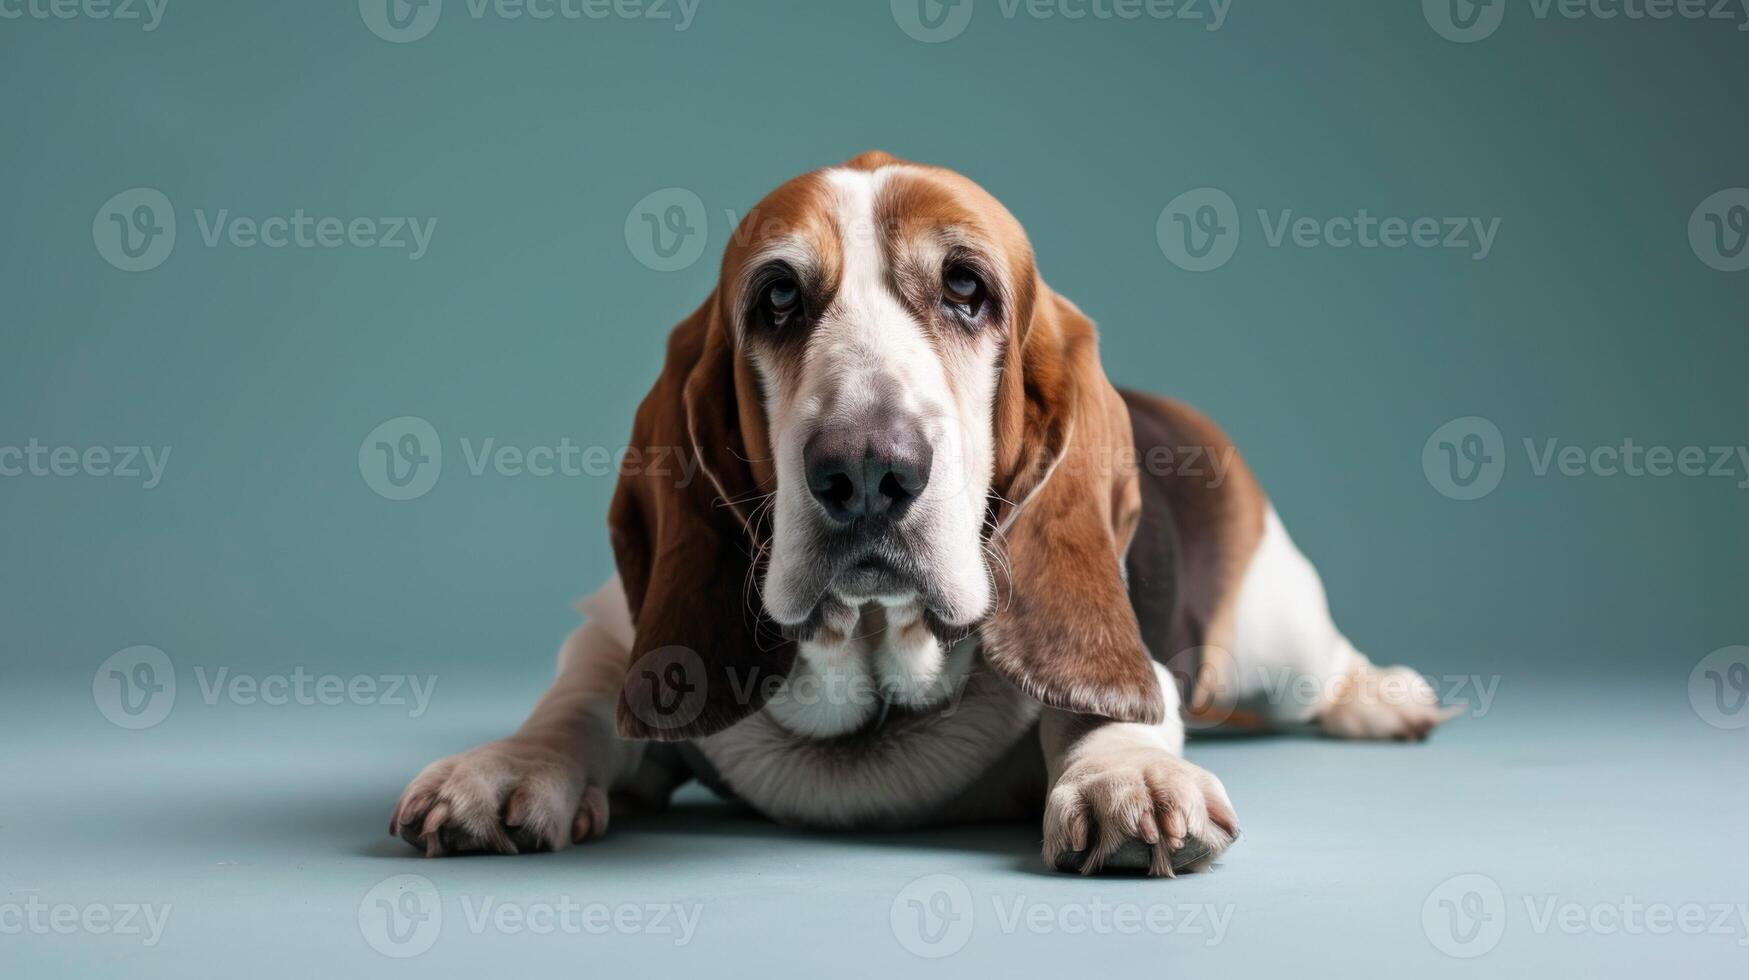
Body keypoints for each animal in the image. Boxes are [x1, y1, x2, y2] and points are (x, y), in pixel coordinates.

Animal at [390, 151, 1455, 871]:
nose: (866, 471)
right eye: (777, 298)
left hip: (1274, 631)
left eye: (967, 289)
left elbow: (1108, 707)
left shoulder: (1138, 666)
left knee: (1323, 669)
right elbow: (576, 705)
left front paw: (1123, 776)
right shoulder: (614, 639)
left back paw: (1386, 698)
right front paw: (503, 768)